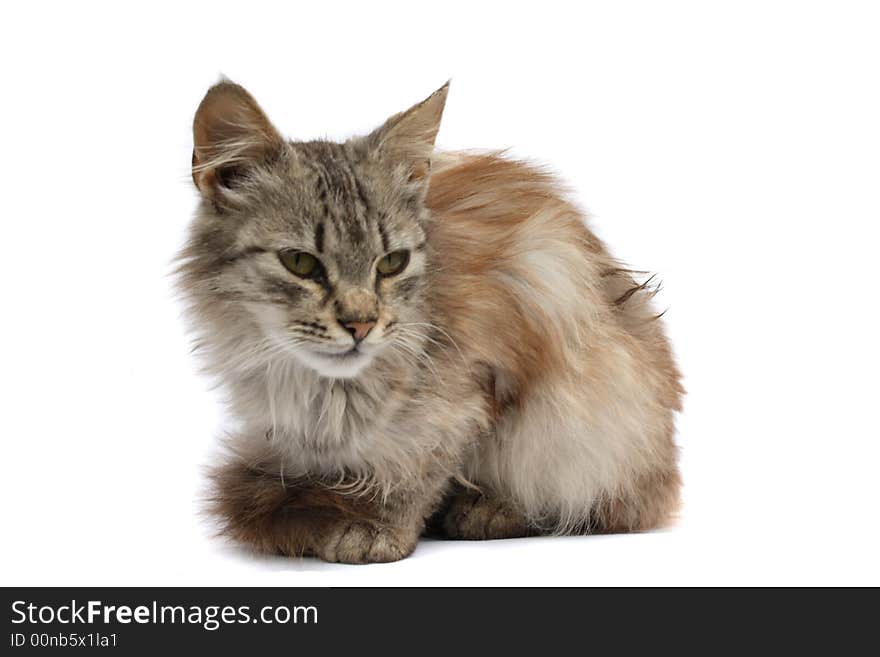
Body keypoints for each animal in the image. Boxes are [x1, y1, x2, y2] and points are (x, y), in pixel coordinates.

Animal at [177, 79, 688, 560]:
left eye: (392, 263)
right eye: (300, 263)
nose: (361, 324)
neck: (328, 391)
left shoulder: (469, 393)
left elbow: (417, 475)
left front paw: (379, 528)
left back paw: (490, 510)